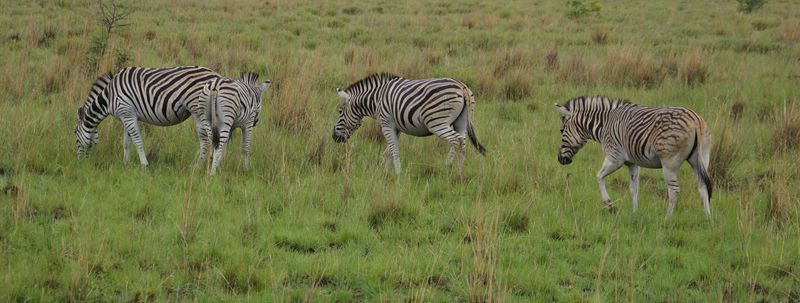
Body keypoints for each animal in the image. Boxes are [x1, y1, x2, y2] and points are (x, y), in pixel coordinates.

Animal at [75, 66, 222, 167]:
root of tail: (217, 76)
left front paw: (144, 165)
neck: (109, 96)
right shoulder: (125, 116)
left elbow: (137, 140)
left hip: (201, 112)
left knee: (210, 140)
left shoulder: (128, 114)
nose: (79, 162)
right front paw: (125, 164)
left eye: (75, 133)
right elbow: (126, 143)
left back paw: (204, 167)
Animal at [332, 72, 488, 175]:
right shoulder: (396, 127)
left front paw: (397, 172)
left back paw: (447, 165)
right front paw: (383, 169)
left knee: (456, 140)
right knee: (463, 141)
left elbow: (393, 149)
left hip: (436, 122)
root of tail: (462, 87)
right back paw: (459, 170)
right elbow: (389, 149)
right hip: (461, 122)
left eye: (340, 112)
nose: (334, 137)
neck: (377, 99)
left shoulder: (386, 123)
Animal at [556, 96, 712, 217]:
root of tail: (695, 120)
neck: (605, 124)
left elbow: (599, 176)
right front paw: (635, 213)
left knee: (674, 191)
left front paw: (610, 206)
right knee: (703, 187)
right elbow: (634, 188)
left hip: (670, 163)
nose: (560, 160)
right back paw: (708, 219)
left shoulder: (615, 157)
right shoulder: (632, 162)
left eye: (562, 130)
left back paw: (666, 220)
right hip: (701, 159)